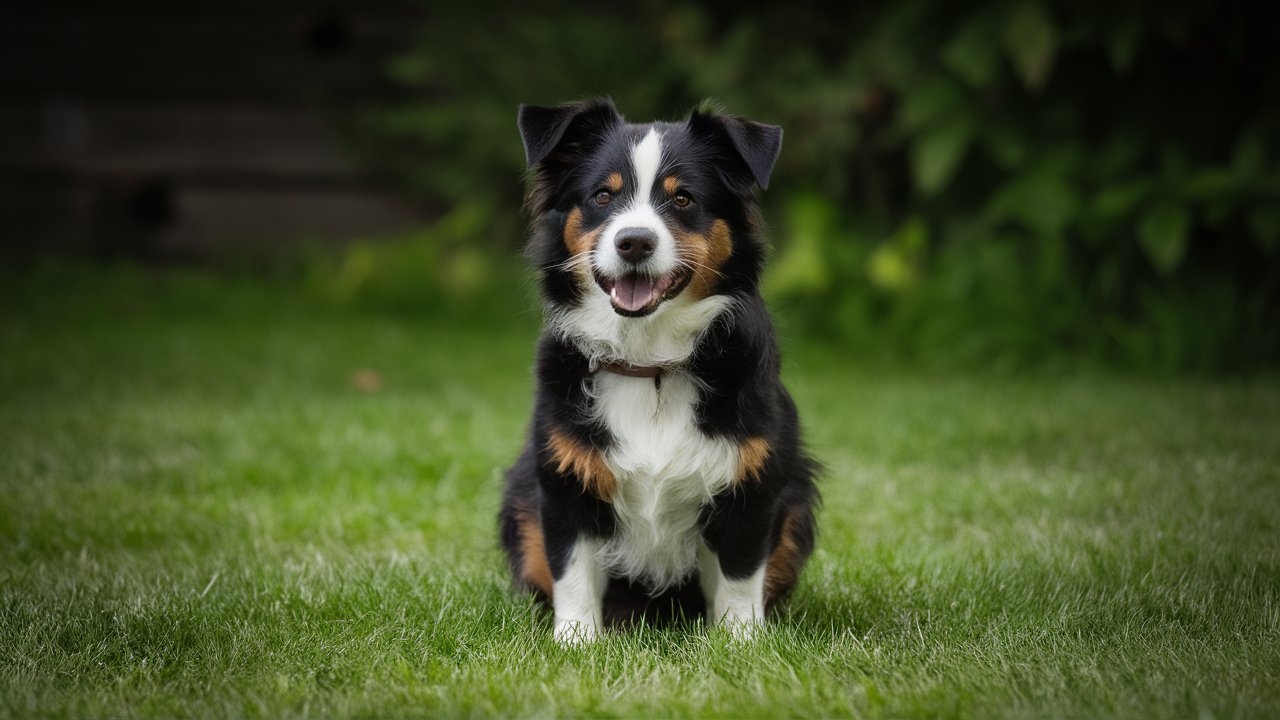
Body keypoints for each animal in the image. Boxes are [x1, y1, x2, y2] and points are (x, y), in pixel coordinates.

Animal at [499, 98, 819, 640]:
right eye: (603, 195)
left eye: (683, 199)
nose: (634, 242)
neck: (650, 365)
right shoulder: (565, 480)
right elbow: (573, 574)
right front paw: (575, 643)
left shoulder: (751, 482)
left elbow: (739, 578)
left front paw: (741, 644)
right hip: (519, 499)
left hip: (797, 502)